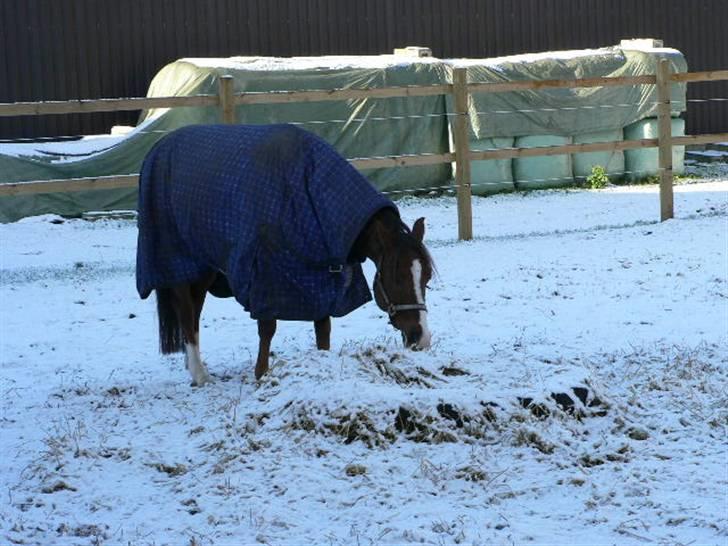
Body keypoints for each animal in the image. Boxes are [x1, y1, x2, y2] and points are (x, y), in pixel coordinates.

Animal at [136, 122, 432, 382]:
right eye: (396, 278)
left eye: (426, 278)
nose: (421, 337)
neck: (307, 193)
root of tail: (159, 146)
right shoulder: (266, 277)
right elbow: (268, 328)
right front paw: (262, 375)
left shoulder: (320, 279)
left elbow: (323, 329)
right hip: (178, 262)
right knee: (187, 313)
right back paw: (199, 375)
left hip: (204, 267)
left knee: (194, 310)